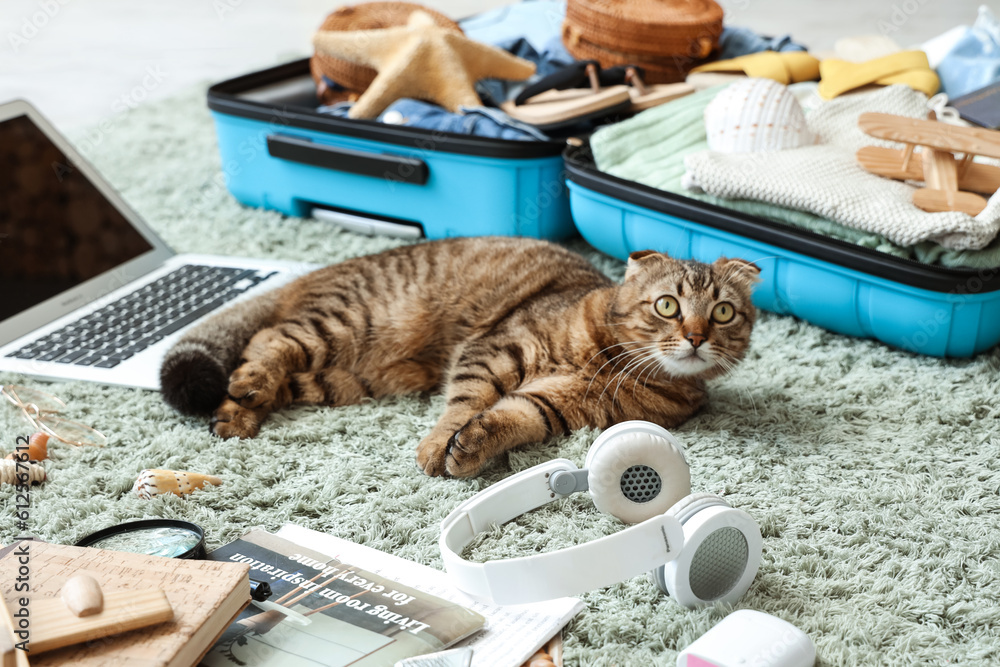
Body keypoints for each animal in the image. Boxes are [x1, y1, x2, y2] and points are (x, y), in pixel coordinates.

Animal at [162, 237, 756, 478]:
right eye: (667, 305)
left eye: (723, 313)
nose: (697, 336)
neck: (607, 364)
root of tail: (311, 274)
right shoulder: (493, 350)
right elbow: (463, 402)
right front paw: (436, 446)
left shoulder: (561, 405)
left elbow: (512, 417)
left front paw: (471, 448)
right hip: (337, 324)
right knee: (267, 342)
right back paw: (248, 389)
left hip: (343, 379)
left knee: (275, 370)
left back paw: (237, 414)